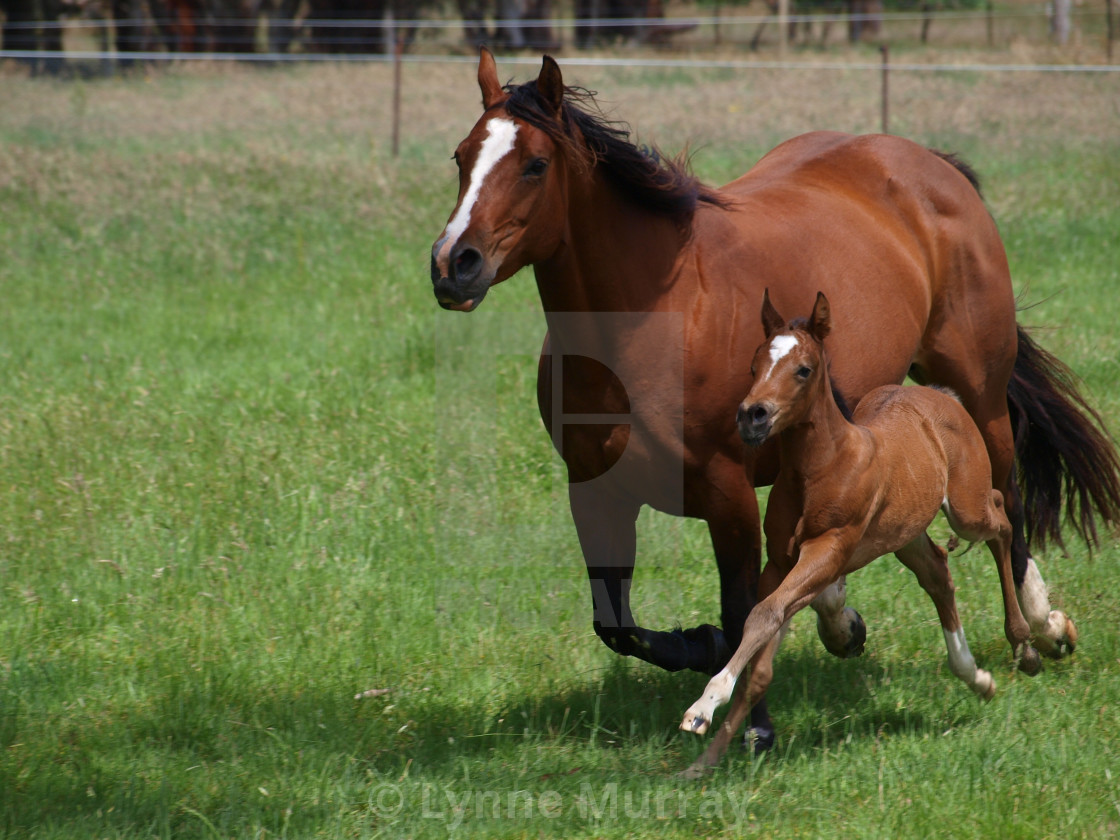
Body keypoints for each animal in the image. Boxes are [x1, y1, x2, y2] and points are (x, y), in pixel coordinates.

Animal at [427, 50, 1120, 748]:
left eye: (535, 165)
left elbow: (741, 607)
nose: (454, 264)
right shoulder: (595, 491)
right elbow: (616, 624)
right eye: (461, 156)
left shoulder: (726, 493)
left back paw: (1043, 627)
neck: (654, 317)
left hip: (979, 391)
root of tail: (929, 162)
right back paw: (844, 618)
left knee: (1007, 503)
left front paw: (748, 717)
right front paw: (721, 645)